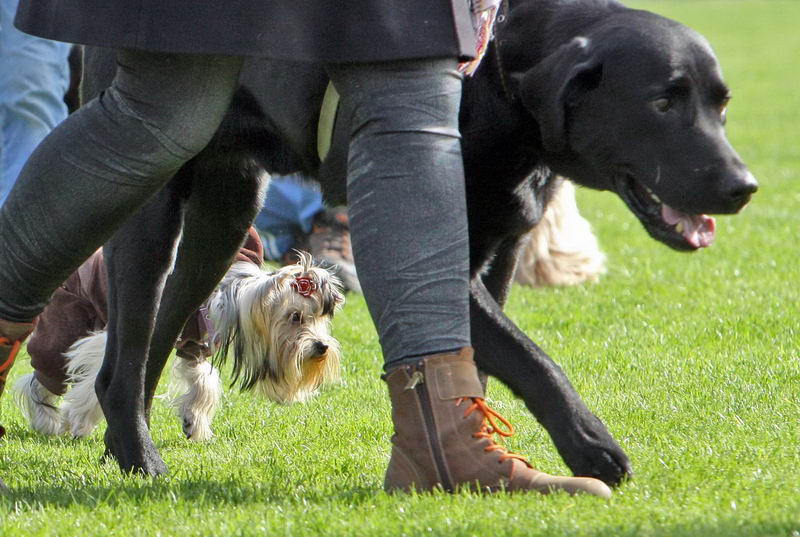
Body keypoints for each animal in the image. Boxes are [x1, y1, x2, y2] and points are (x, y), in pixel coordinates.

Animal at [14, 245, 344, 441]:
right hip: (66, 315)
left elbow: (202, 383)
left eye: (319, 319)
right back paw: (47, 421)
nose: (321, 347)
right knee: (43, 373)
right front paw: (80, 421)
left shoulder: (194, 344)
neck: (223, 296)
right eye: (294, 316)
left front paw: (193, 424)